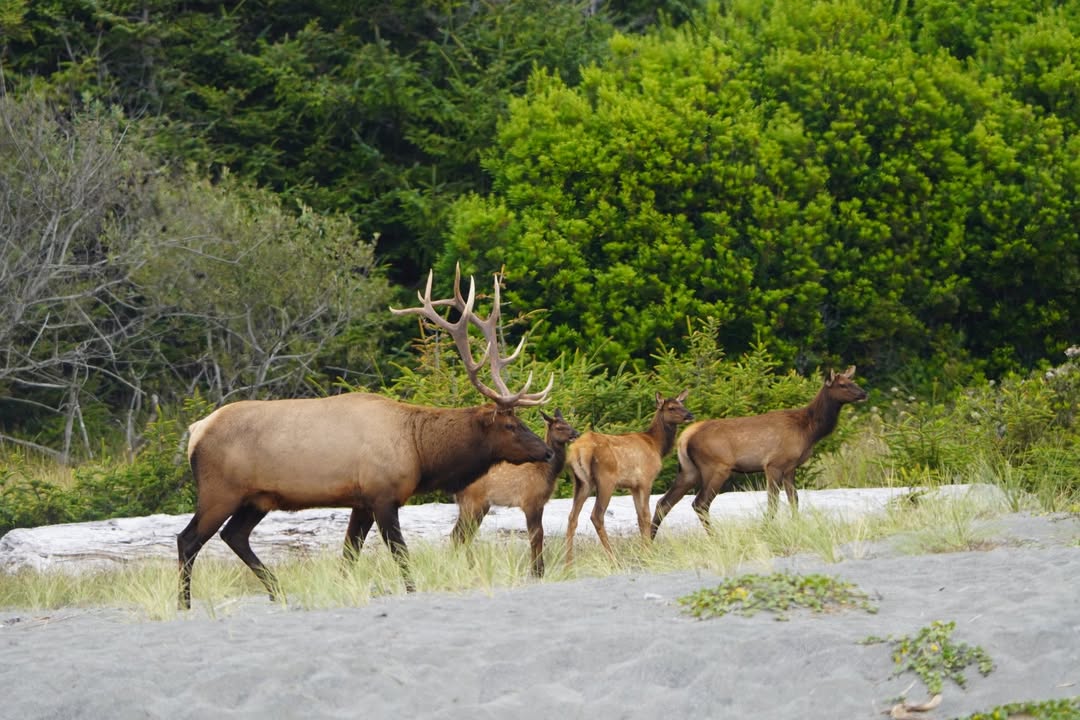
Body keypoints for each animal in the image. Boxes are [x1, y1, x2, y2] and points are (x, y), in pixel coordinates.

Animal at [178, 266, 553, 610]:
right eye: (510, 425)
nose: (547, 452)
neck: (419, 449)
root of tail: (196, 431)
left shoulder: (361, 501)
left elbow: (349, 555)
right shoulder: (383, 494)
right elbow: (400, 553)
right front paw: (412, 590)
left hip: (257, 498)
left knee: (234, 535)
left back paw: (277, 591)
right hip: (220, 491)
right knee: (189, 539)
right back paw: (186, 603)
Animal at [450, 408, 579, 577]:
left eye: (568, 423)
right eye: (559, 427)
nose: (576, 433)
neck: (546, 472)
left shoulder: (540, 503)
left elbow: (539, 533)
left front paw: (538, 569)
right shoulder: (530, 501)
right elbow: (536, 534)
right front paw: (537, 571)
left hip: (477, 505)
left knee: (463, 534)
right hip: (473, 503)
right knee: (459, 534)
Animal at [564, 390, 693, 564]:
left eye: (682, 404)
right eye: (671, 407)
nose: (690, 415)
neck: (656, 446)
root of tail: (578, 450)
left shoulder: (633, 486)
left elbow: (639, 517)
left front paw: (644, 550)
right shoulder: (646, 479)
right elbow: (645, 515)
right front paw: (647, 552)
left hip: (581, 482)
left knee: (572, 517)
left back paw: (568, 563)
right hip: (606, 479)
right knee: (597, 515)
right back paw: (613, 559)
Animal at [650, 366, 867, 539]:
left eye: (852, 381)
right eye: (842, 385)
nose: (864, 393)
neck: (809, 430)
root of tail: (685, 437)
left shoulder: (790, 467)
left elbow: (794, 500)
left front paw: (796, 527)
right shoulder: (773, 464)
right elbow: (773, 503)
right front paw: (765, 531)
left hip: (688, 470)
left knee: (663, 502)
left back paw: (650, 541)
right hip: (717, 467)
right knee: (700, 503)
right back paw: (715, 537)